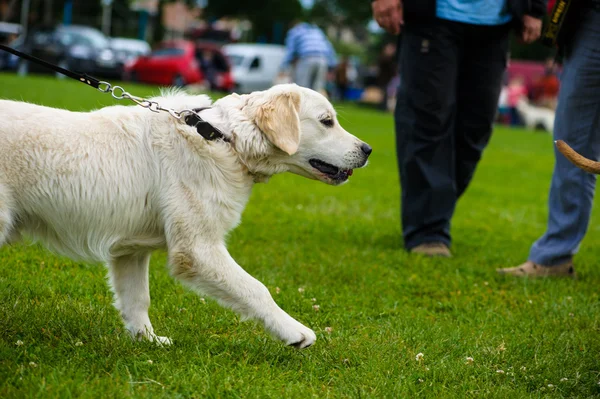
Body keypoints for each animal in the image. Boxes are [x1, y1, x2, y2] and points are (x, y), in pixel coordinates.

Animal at [0, 84, 372, 350]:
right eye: (327, 121)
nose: (368, 150)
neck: (224, 139)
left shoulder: (130, 251)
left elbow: (137, 299)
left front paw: (147, 342)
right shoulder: (198, 248)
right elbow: (256, 289)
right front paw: (294, 331)